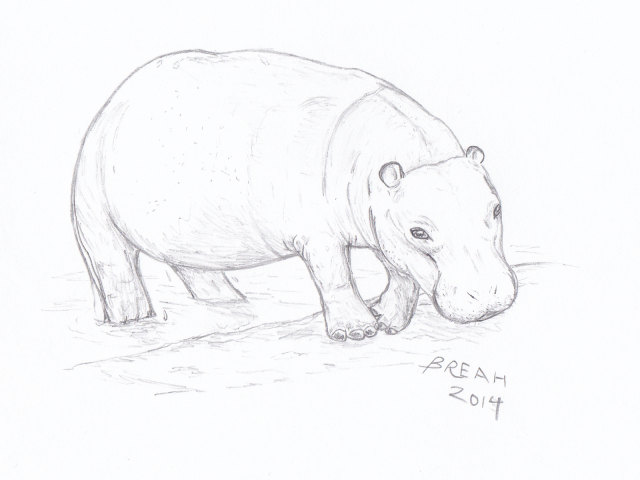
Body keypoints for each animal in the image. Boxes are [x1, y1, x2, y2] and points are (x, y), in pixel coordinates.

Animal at [71, 50, 517, 341]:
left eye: (496, 209)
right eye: (420, 231)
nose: (490, 299)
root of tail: (109, 107)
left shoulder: (384, 223)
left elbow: (402, 276)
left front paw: (388, 322)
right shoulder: (321, 233)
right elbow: (335, 276)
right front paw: (357, 331)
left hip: (186, 234)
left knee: (193, 267)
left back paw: (232, 302)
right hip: (94, 207)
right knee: (116, 266)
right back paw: (133, 320)